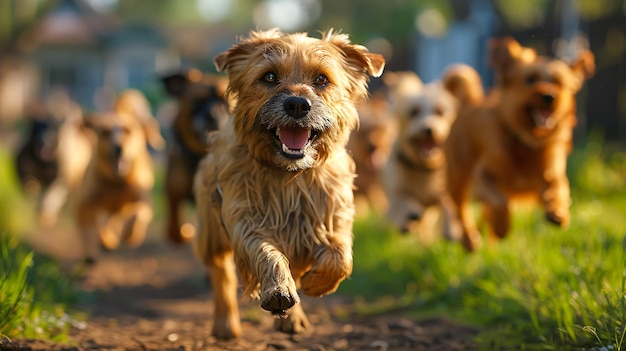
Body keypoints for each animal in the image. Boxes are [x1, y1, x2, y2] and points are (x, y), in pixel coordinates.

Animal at [193, 28, 382, 340]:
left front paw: (318, 283)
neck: (290, 175)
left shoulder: (331, 219)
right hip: (212, 230)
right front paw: (279, 288)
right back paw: (226, 323)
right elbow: (268, 254)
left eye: (321, 79)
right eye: (269, 77)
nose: (296, 104)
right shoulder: (247, 221)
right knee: (221, 274)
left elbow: (341, 256)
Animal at [380, 64, 482, 243]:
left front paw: (450, 230)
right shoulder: (396, 192)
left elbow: (448, 204)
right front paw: (409, 212)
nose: (428, 129)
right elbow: (403, 200)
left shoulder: (445, 190)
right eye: (413, 112)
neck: (424, 168)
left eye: (440, 112)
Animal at [444, 38, 596, 252]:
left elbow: (557, 189)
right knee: (461, 210)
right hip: (458, 177)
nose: (549, 96)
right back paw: (470, 239)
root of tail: (470, 102)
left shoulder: (551, 175)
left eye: (559, 83)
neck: (525, 141)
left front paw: (558, 212)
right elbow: (500, 202)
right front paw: (502, 227)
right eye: (530, 79)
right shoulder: (483, 176)